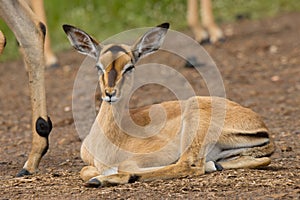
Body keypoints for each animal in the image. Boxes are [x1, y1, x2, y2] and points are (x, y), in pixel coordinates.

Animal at [63, 22, 274, 187]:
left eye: (130, 66)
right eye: (98, 66)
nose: (110, 93)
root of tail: (261, 126)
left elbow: (124, 166)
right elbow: (84, 170)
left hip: (194, 118)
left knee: (188, 165)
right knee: (259, 160)